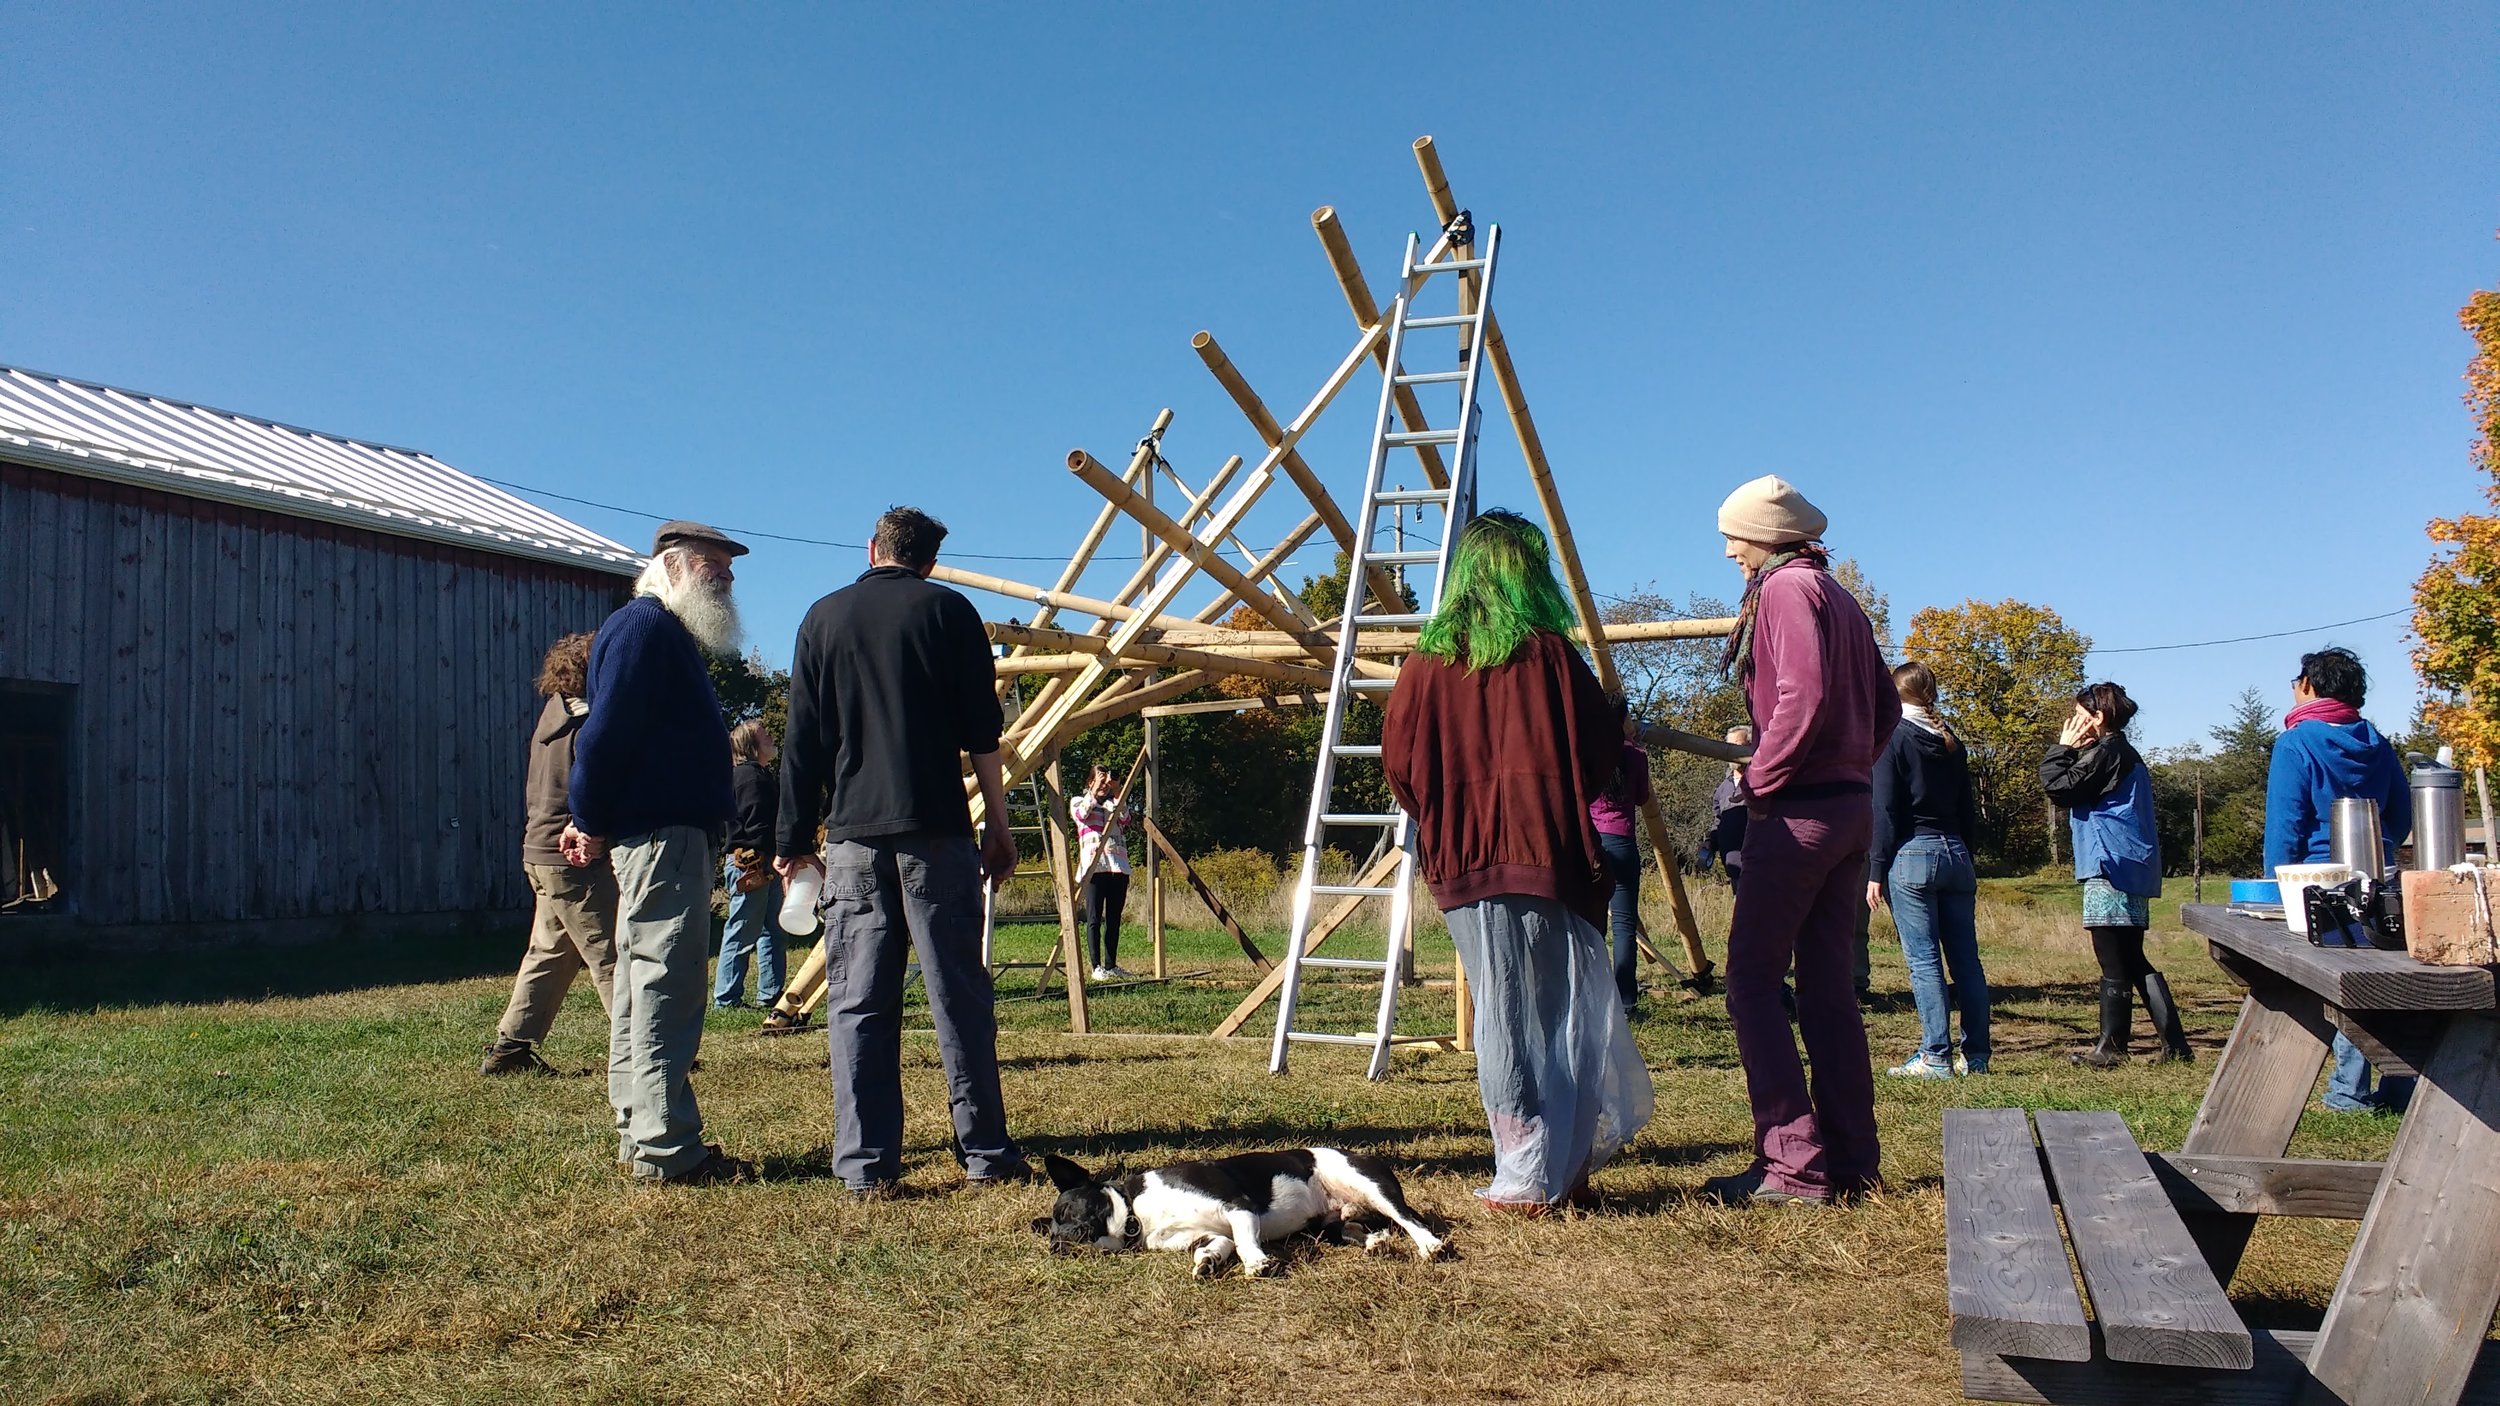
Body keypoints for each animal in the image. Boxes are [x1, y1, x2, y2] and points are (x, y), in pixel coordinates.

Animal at [1030, 1145, 1450, 1275]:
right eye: (1049, 1231)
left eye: (1065, 1213)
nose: (1054, 1245)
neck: (1138, 1212)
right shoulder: (1207, 1234)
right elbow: (1218, 1246)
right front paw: (1207, 1264)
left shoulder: (1238, 1207)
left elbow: (1247, 1242)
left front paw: (1258, 1264)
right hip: (1328, 1224)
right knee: (1355, 1228)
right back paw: (1375, 1242)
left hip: (1370, 1185)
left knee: (1409, 1218)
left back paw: (1430, 1246)